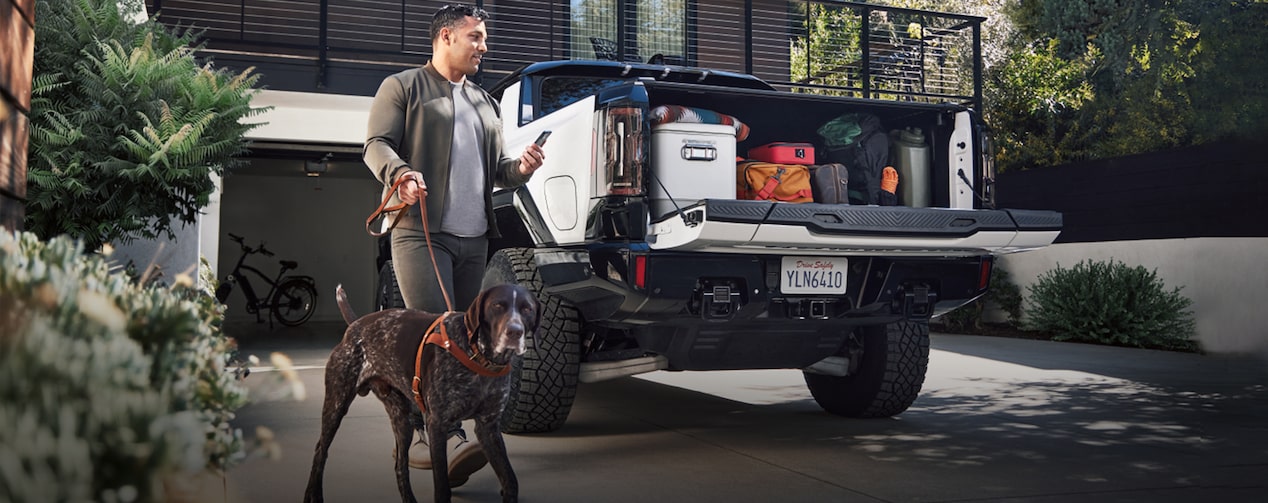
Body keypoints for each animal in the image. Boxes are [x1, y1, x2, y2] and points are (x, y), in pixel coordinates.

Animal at [309, 283, 542, 499]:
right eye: (497, 306)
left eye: (527, 309)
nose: (515, 331)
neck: (479, 358)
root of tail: (355, 326)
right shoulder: (437, 424)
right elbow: (442, 486)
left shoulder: (488, 428)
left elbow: (510, 480)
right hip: (336, 405)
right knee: (320, 451)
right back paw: (312, 494)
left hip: (402, 421)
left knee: (400, 466)